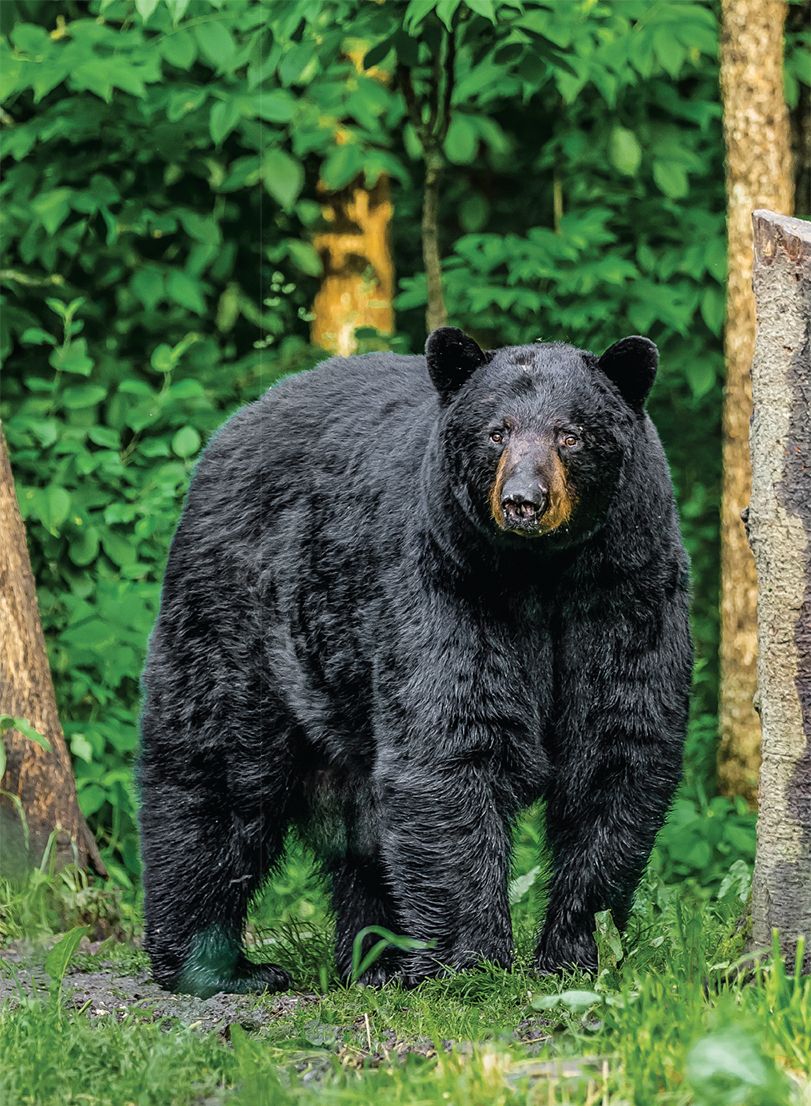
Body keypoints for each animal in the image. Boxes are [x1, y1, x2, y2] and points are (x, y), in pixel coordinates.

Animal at [138, 327, 692, 997]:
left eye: (571, 434)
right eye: (496, 431)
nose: (524, 502)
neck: (541, 575)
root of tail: (241, 418)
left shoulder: (626, 592)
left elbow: (618, 748)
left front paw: (573, 949)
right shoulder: (449, 584)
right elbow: (453, 743)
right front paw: (473, 964)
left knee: (362, 824)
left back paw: (377, 958)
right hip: (239, 609)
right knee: (217, 770)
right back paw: (215, 964)